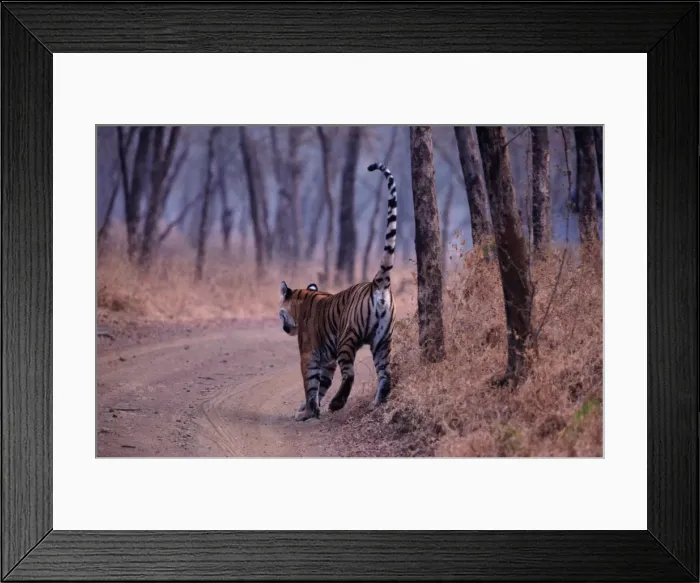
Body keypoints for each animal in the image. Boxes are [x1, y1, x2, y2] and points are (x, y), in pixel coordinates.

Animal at [279, 162, 398, 421]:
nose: (284, 328)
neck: (303, 297)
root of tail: (377, 283)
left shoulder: (310, 354)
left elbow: (310, 385)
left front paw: (307, 412)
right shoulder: (327, 360)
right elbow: (320, 385)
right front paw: (309, 409)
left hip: (347, 336)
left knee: (350, 374)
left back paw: (337, 403)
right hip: (382, 341)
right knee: (385, 374)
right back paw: (376, 403)